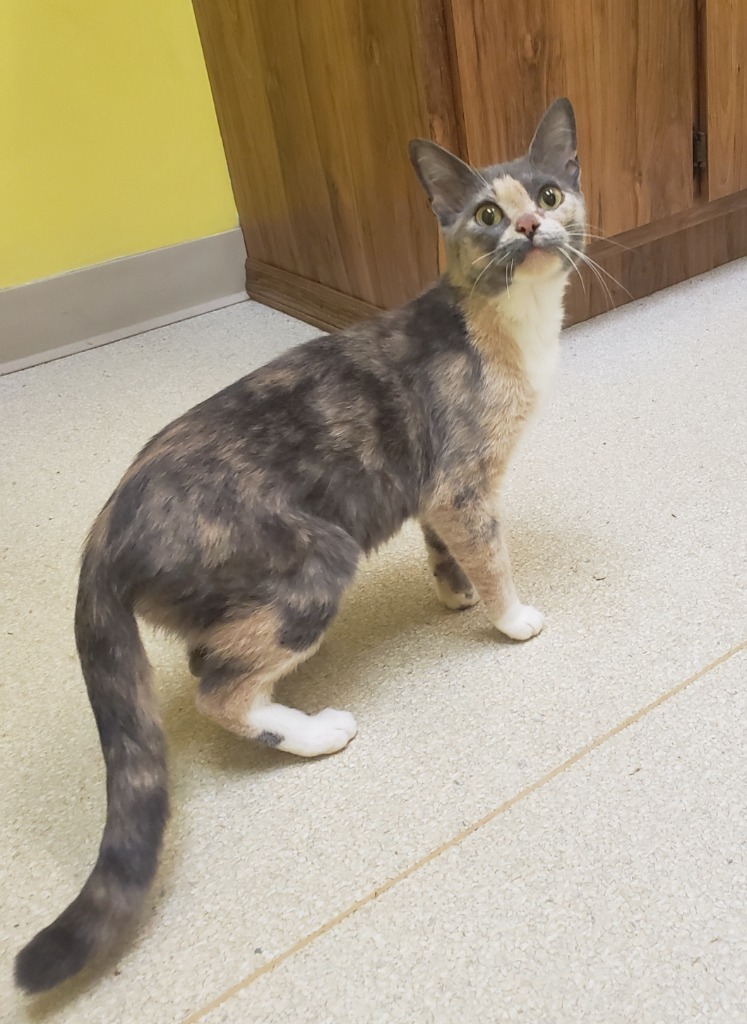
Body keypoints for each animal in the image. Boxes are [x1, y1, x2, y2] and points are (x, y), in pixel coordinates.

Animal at [13, 96, 582, 991]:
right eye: (487, 215)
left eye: (551, 194)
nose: (528, 226)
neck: (504, 326)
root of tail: (100, 537)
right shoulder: (463, 481)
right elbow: (491, 551)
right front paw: (509, 616)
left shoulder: (432, 490)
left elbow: (446, 545)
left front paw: (452, 591)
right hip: (315, 559)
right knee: (215, 684)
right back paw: (313, 732)